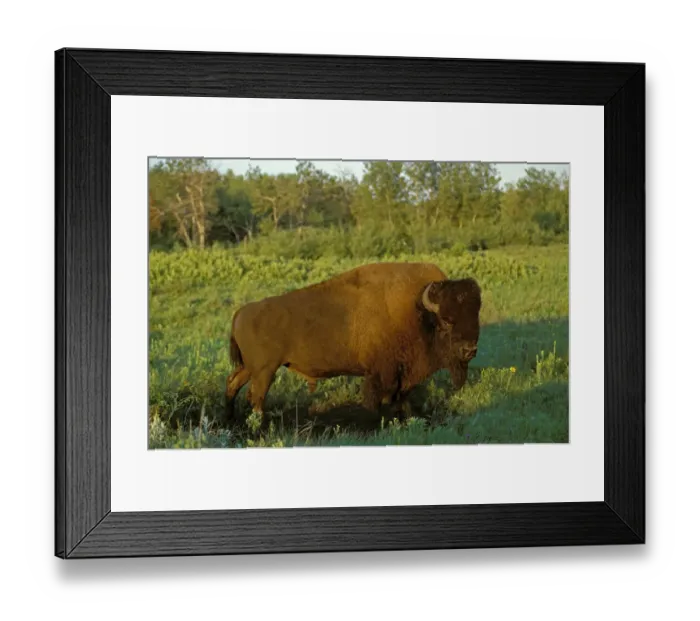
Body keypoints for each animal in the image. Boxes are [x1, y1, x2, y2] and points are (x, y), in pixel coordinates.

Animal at [225, 262, 481, 427]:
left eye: (475, 315)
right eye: (446, 320)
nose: (469, 350)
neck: (417, 311)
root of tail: (241, 312)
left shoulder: (401, 374)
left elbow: (401, 398)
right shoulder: (383, 373)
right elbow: (380, 400)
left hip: (250, 368)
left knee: (233, 384)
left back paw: (231, 420)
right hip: (264, 371)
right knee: (256, 397)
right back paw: (258, 428)